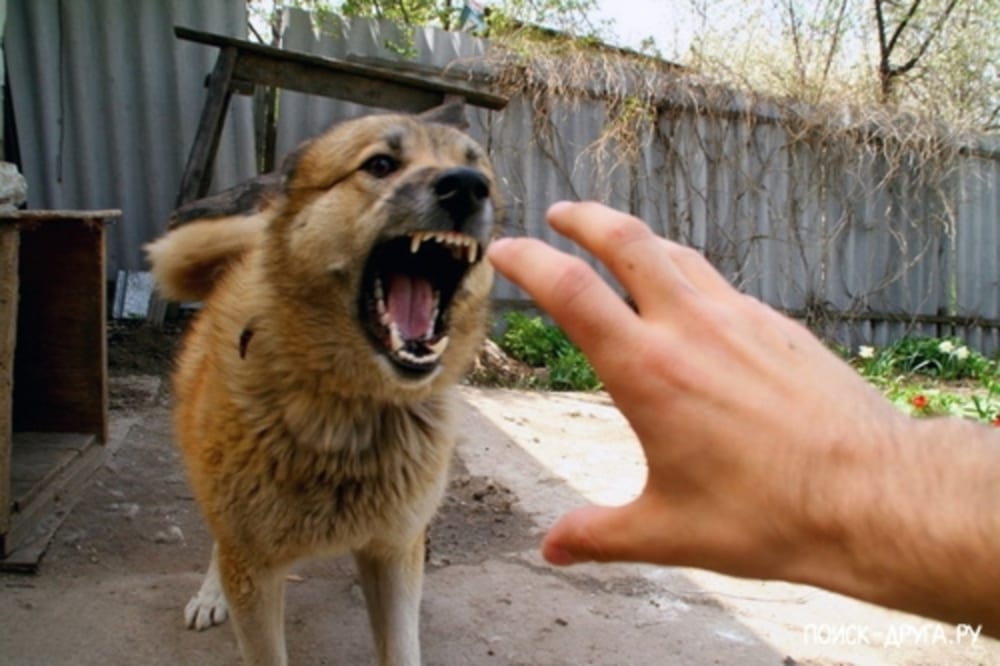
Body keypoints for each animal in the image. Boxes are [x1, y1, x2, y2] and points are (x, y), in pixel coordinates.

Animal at [147, 109, 500, 664]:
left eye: (478, 169)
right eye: (380, 165)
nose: (467, 187)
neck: (349, 409)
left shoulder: (393, 552)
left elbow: (401, 646)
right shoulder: (254, 569)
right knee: (217, 541)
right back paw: (210, 593)